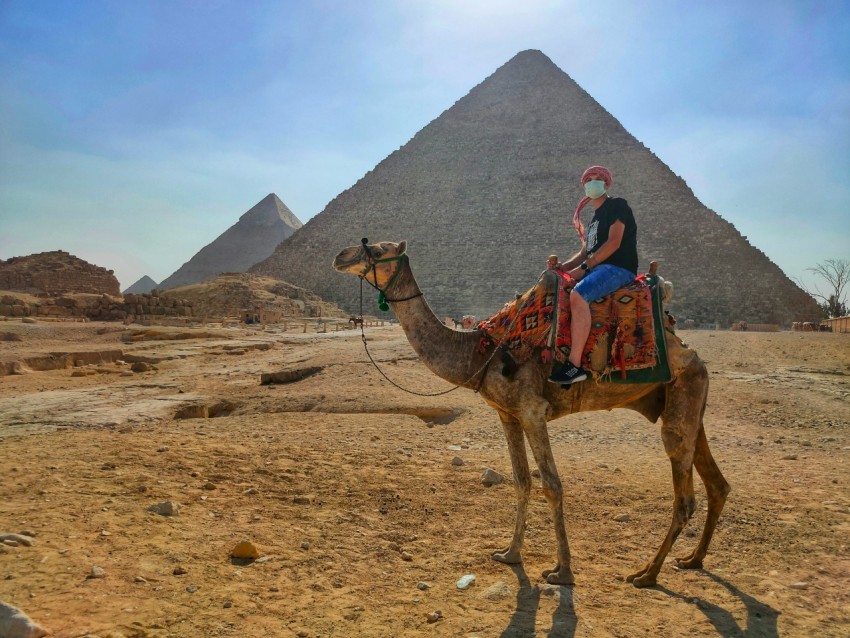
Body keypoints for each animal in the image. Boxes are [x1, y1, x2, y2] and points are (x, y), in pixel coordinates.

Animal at [332, 240, 728, 592]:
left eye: (377, 249)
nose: (341, 255)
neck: (479, 353)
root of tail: (690, 351)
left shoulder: (532, 411)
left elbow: (552, 485)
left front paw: (563, 572)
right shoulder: (508, 415)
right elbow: (522, 481)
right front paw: (510, 554)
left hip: (682, 398)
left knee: (685, 497)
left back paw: (646, 574)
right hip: (688, 406)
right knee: (717, 484)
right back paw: (691, 559)